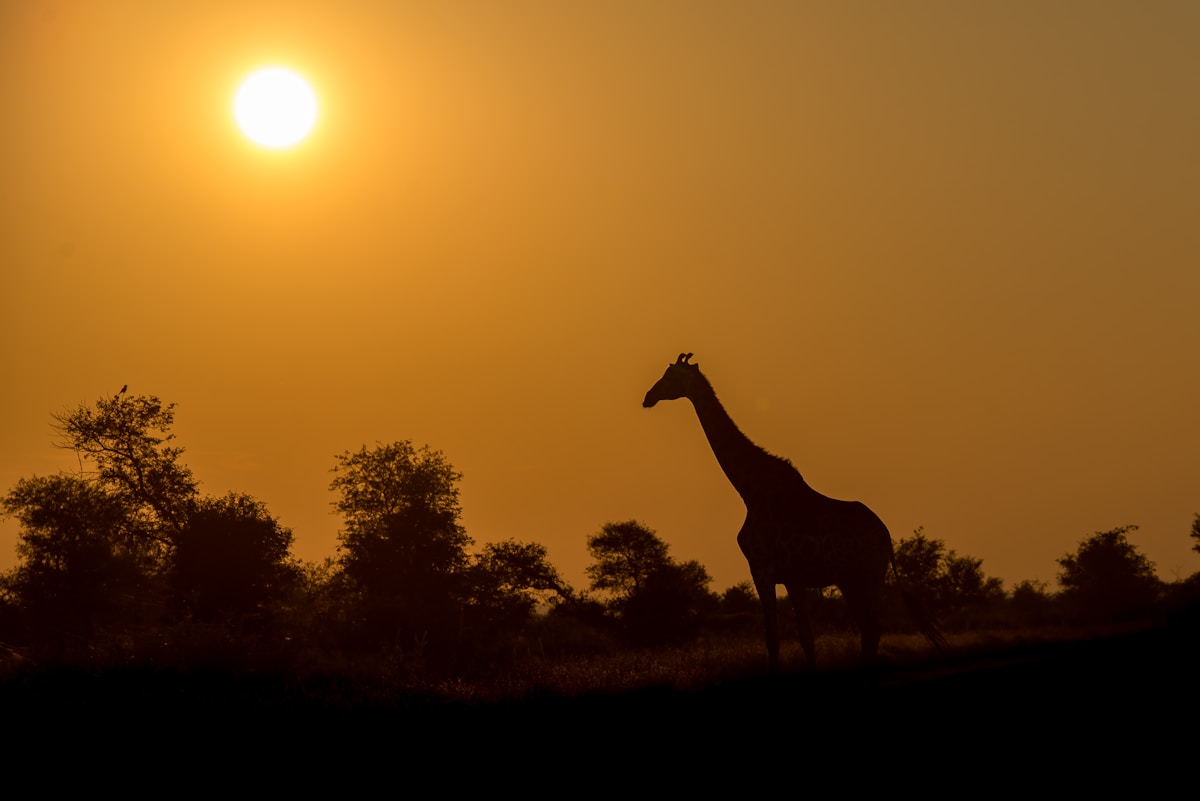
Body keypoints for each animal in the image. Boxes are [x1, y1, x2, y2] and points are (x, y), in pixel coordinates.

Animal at [643, 352, 944, 669]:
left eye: (671, 376)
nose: (648, 396)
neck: (751, 492)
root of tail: (884, 534)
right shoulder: (793, 579)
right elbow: (806, 638)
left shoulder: (761, 568)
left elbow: (773, 638)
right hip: (852, 579)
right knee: (868, 629)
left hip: (867, 576)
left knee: (872, 628)